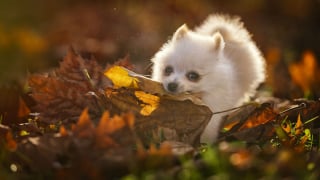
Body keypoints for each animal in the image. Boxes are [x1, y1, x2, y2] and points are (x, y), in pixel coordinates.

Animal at [151, 14, 266, 143]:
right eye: (168, 70)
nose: (172, 85)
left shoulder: (213, 111)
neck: (195, 97)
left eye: (193, 76)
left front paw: (203, 144)